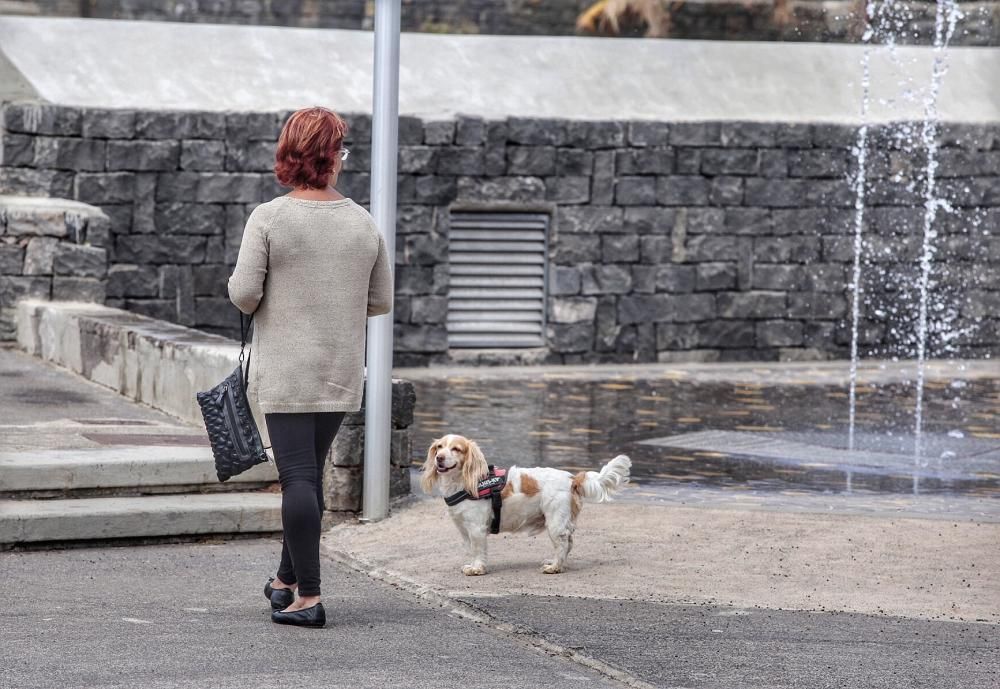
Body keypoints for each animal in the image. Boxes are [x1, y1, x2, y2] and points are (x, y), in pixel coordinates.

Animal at [418, 436, 628, 576]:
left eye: (456, 449)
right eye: (439, 447)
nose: (439, 458)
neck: (464, 483)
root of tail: (572, 479)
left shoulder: (476, 529)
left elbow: (478, 551)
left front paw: (478, 568)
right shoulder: (464, 529)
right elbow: (471, 550)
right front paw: (472, 565)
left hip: (555, 524)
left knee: (562, 544)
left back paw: (555, 567)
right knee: (568, 543)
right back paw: (557, 563)